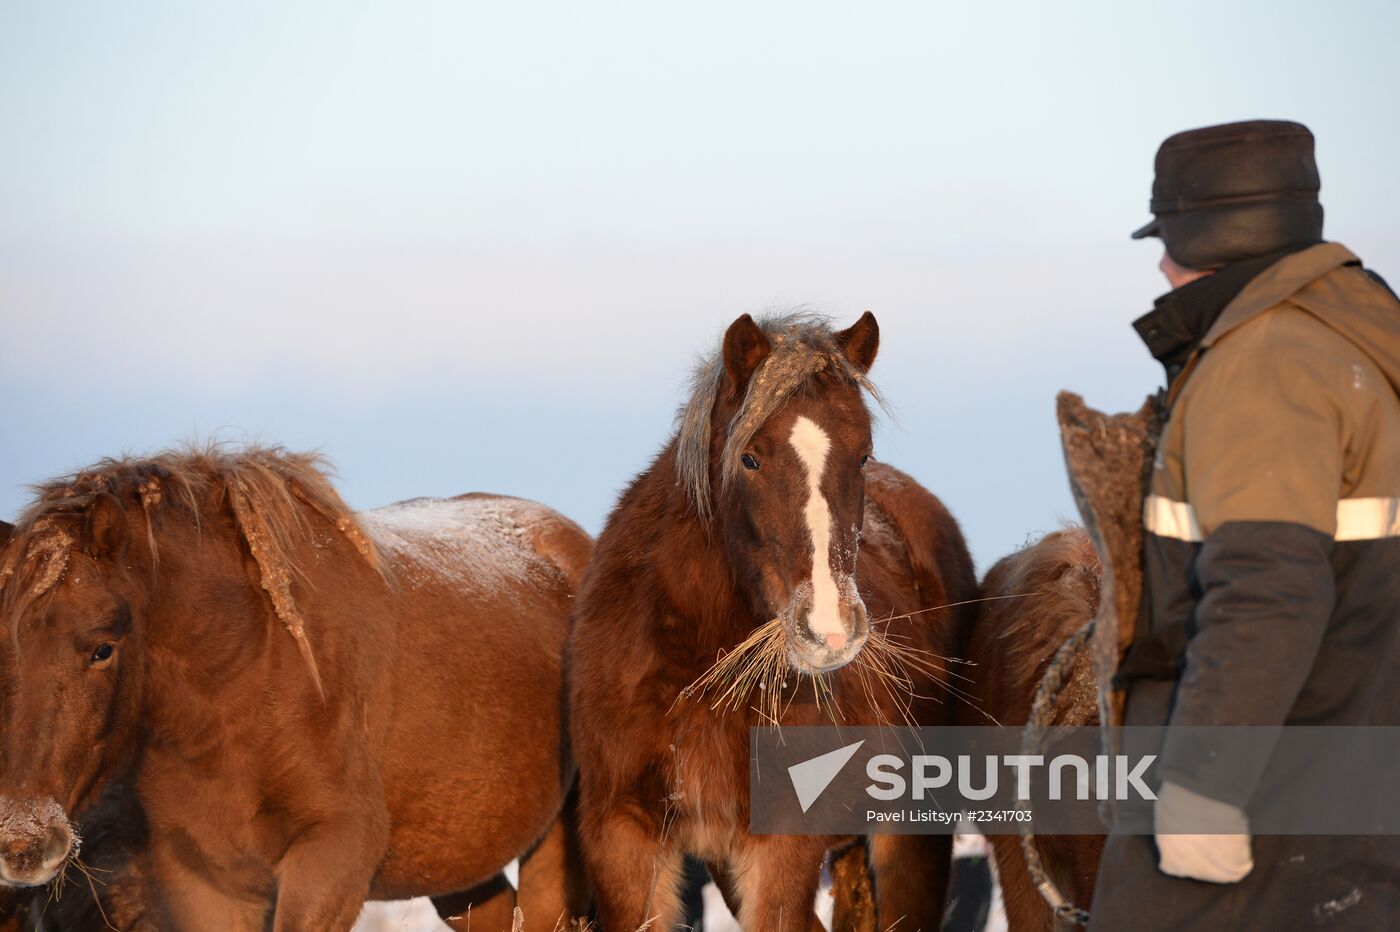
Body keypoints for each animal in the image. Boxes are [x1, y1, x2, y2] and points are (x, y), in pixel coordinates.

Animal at [562, 313, 980, 929]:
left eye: (862, 455)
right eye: (750, 458)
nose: (830, 628)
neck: (694, 668)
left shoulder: (784, 844)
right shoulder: (621, 835)